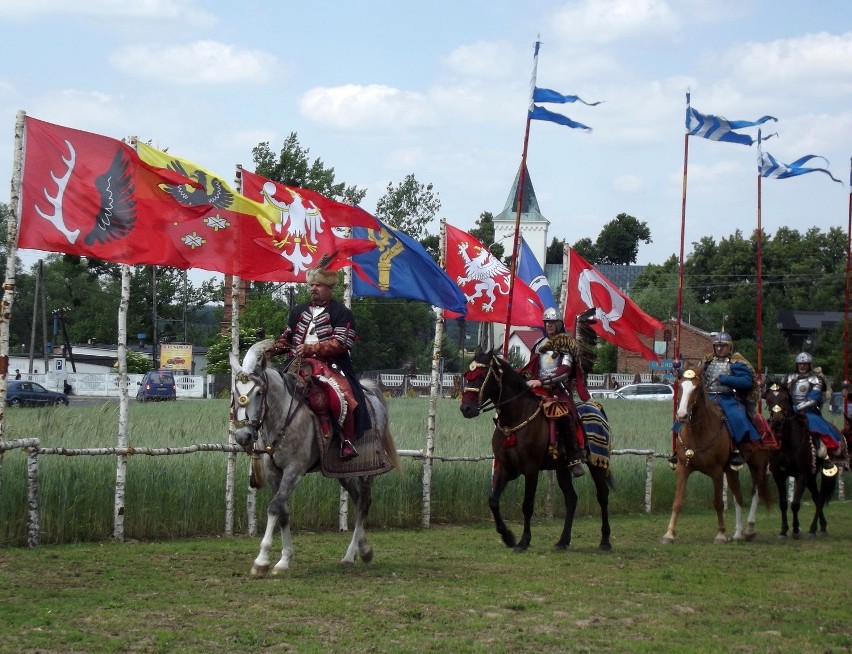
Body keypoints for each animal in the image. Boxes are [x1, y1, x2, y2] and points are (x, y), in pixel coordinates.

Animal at [460, 346, 612, 556]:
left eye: (482, 375)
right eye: (467, 375)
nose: (466, 408)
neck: (516, 417)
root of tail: (597, 408)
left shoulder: (531, 469)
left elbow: (527, 505)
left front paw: (523, 541)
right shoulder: (505, 467)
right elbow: (493, 500)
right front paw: (508, 537)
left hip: (598, 462)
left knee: (602, 496)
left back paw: (605, 542)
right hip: (562, 468)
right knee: (571, 499)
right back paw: (562, 541)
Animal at [664, 368, 776, 548]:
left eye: (696, 388)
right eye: (680, 386)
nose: (681, 415)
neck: (698, 432)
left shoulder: (716, 471)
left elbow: (718, 503)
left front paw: (721, 534)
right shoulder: (683, 467)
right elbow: (677, 502)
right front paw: (669, 534)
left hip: (757, 464)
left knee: (756, 491)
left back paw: (750, 529)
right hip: (731, 470)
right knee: (738, 497)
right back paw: (738, 533)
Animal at [764, 382, 840, 540]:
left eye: (785, 399)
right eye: (768, 399)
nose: (777, 421)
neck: (786, 444)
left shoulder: (802, 475)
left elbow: (795, 503)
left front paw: (795, 529)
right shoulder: (779, 475)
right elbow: (783, 503)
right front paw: (783, 531)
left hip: (824, 474)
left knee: (820, 498)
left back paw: (813, 529)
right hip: (811, 476)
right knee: (817, 498)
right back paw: (820, 528)